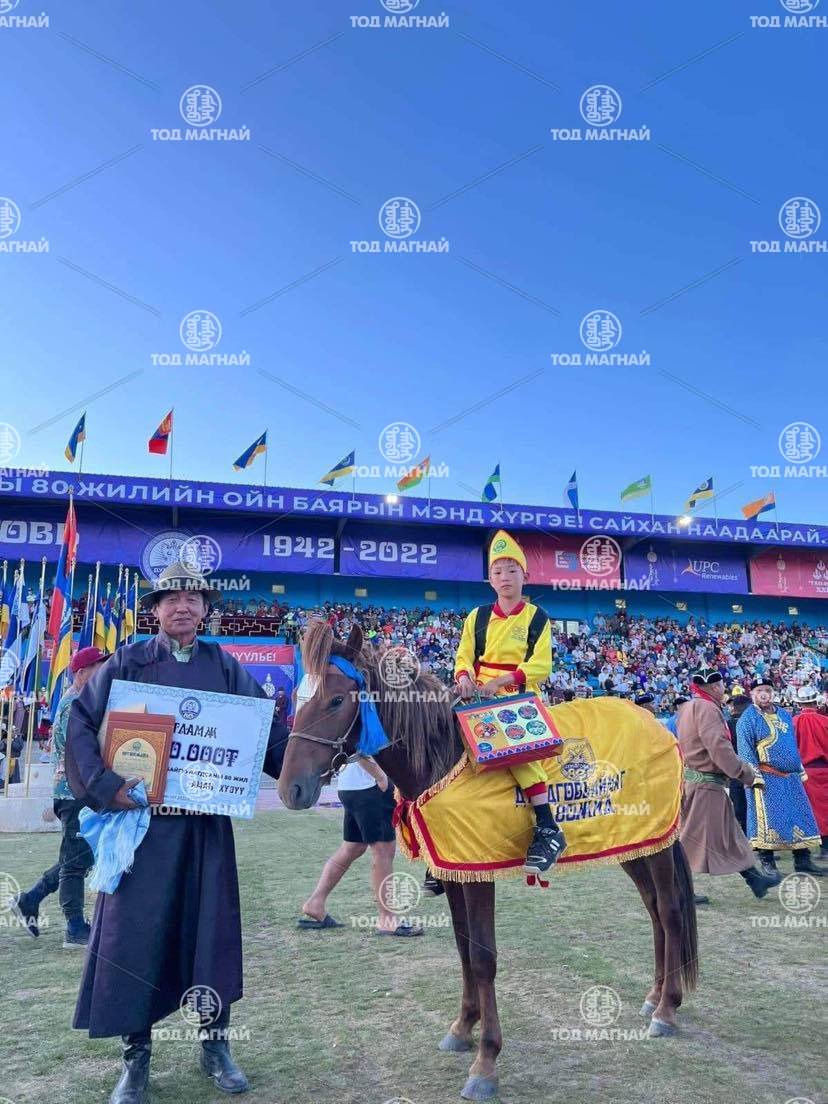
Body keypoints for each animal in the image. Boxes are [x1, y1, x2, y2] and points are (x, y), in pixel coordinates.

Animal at [278, 622, 698, 1101]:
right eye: (300, 696)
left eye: (334, 700)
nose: (290, 788)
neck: (443, 760)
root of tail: (657, 726)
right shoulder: (454, 873)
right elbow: (464, 951)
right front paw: (462, 1027)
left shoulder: (477, 874)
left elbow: (482, 958)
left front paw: (486, 1060)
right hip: (632, 845)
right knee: (654, 911)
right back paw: (655, 994)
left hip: (657, 846)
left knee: (669, 912)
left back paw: (666, 1009)